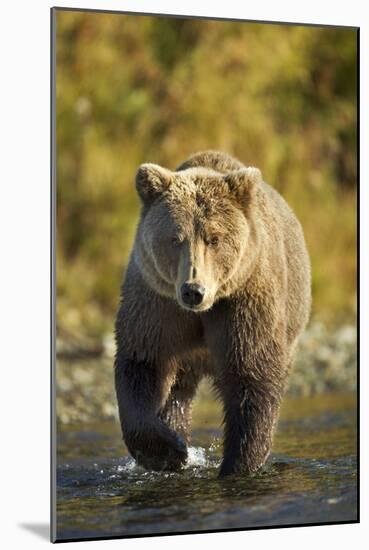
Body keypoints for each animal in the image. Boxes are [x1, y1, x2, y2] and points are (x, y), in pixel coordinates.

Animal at [115, 151, 310, 478]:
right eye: (175, 238)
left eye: (214, 238)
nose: (193, 290)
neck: (203, 311)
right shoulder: (157, 303)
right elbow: (143, 363)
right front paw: (169, 451)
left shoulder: (244, 302)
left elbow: (252, 376)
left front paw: (237, 464)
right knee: (177, 392)